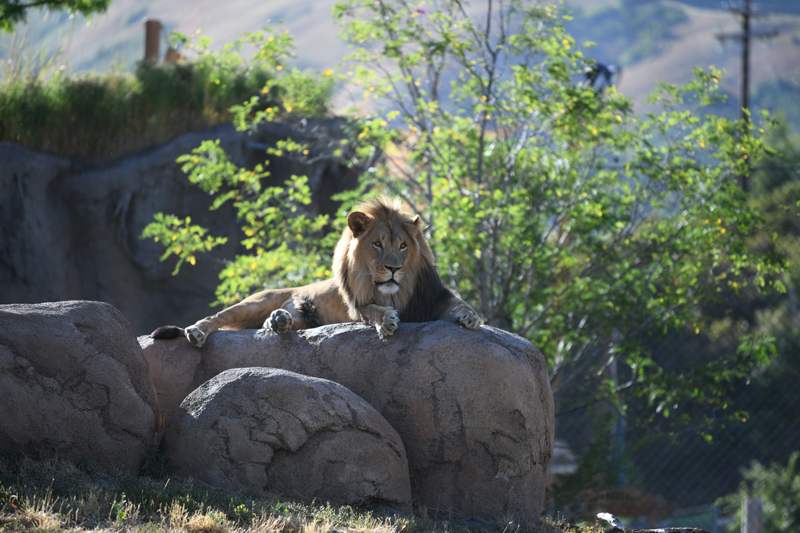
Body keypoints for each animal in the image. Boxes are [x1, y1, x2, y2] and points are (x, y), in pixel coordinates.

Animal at [151, 197, 482, 347]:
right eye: (377, 244)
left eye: (402, 246)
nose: (394, 269)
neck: (394, 293)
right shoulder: (359, 307)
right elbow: (372, 310)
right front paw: (386, 320)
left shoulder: (431, 298)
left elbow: (458, 303)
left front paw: (471, 317)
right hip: (254, 302)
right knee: (218, 317)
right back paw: (197, 331)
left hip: (304, 316)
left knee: (282, 323)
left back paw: (279, 321)